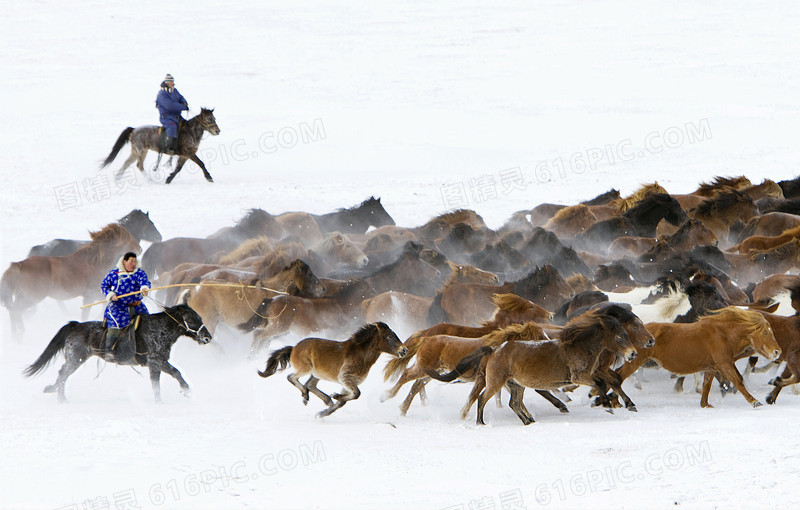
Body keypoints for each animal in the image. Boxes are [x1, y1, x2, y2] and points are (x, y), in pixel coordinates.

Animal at [1, 223, 141, 334]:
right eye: (127, 237)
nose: (139, 249)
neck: (94, 262)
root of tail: (19, 265)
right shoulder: (89, 296)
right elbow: (85, 316)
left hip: (22, 295)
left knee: (15, 311)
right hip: (33, 297)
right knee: (16, 310)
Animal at [24, 302, 211, 402]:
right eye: (193, 319)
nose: (208, 338)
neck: (160, 329)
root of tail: (75, 325)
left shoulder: (154, 365)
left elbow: (156, 384)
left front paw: (159, 402)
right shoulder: (157, 360)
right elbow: (176, 372)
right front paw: (186, 390)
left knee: (61, 374)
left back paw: (51, 390)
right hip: (76, 358)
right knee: (62, 374)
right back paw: (62, 399)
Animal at [256, 322, 406, 418]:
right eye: (389, 336)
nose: (404, 350)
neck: (361, 355)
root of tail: (293, 348)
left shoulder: (348, 383)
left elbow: (346, 400)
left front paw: (323, 413)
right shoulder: (345, 378)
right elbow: (356, 394)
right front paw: (334, 396)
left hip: (317, 373)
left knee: (309, 384)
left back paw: (324, 400)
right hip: (305, 368)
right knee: (292, 378)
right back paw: (305, 396)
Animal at [612, 306, 780, 410]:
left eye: (772, 331)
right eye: (765, 332)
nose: (777, 352)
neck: (723, 334)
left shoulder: (712, 368)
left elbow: (706, 387)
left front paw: (705, 405)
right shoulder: (724, 364)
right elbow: (738, 382)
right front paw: (755, 402)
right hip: (635, 362)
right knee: (618, 377)